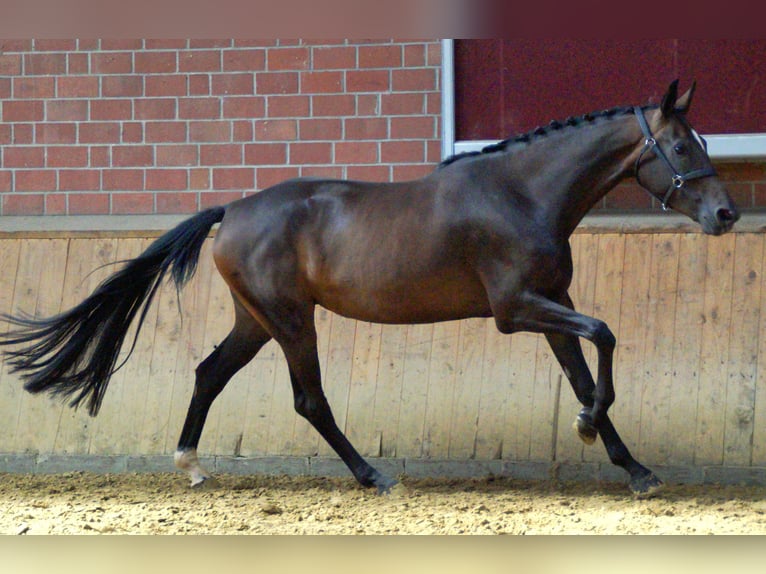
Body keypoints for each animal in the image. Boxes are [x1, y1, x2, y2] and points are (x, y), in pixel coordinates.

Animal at [0, 80, 739, 497]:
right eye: (680, 145)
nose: (726, 215)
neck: (523, 194)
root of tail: (231, 210)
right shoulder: (516, 310)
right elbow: (606, 339)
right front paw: (592, 433)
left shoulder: (552, 307)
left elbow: (587, 377)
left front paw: (633, 468)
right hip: (292, 321)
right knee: (309, 400)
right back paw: (374, 477)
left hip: (256, 320)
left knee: (210, 372)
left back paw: (192, 466)